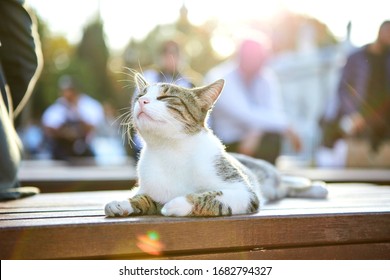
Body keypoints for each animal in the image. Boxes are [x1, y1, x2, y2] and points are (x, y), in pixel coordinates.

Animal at [105, 73, 328, 218]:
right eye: (140, 95)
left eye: (166, 97)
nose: (142, 101)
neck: (170, 148)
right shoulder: (153, 188)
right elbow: (143, 198)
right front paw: (123, 203)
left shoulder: (244, 193)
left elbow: (212, 197)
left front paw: (178, 204)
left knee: (287, 185)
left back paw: (316, 188)